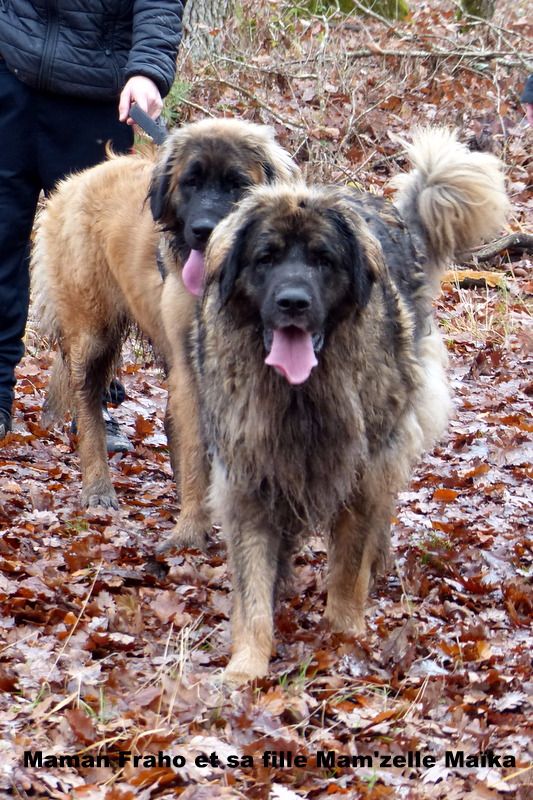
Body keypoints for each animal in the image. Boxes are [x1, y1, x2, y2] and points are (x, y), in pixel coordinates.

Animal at [32, 117, 300, 544]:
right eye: (191, 182)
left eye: (237, 184)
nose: (203, 231)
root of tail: (77, 180)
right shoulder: (193, 371)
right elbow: (195, 450)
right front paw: (191, 530)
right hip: (93, 334)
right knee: (88, 403)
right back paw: (98, 488)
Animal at [191, 130, 508, 680]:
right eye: (266, 258)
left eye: (323, 260)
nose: (293, 303)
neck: (300, 394)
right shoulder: (248, 478)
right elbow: (252, 584)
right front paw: (247, 664)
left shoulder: (363, 471)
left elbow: (347, 564)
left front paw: (344, 636)